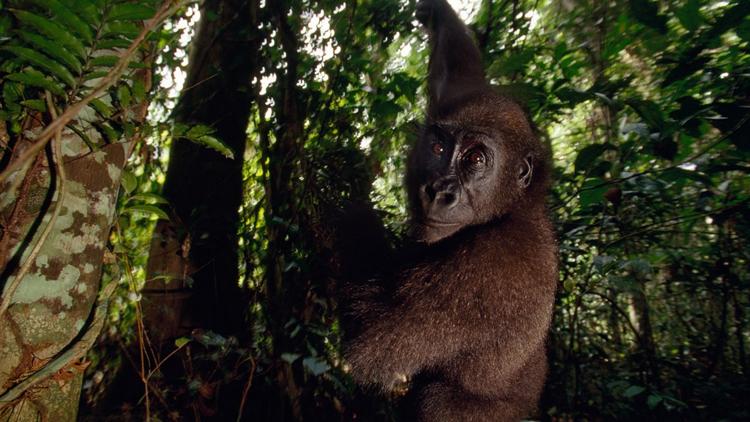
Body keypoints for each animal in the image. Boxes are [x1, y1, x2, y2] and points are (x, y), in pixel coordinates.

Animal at [334, 0, 560, 418]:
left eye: (474, 159)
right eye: (439, 148)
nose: (440, 192)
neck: (515, 207)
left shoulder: (490, 266)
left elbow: (370, 339)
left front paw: (345, 206)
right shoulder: (459, 97)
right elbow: (459, 70)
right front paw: (436, 13)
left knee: (437, 398)